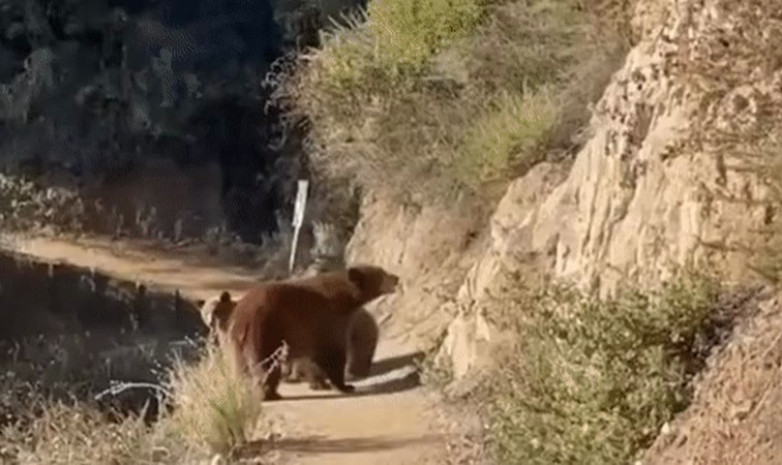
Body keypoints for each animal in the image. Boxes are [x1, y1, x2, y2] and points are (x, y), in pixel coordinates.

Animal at [225, 262, 398, 400]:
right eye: (382, 273)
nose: (396, 277)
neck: (346, 298)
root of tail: (241, 319)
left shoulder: (314, 331)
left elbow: (315, 357)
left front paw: (321, 383)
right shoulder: (328, 318)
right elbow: (333, 354)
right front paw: (344, 386)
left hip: (237, 343)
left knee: (241, 368)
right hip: (264, 332)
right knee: (267, 365)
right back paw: (269, 394)